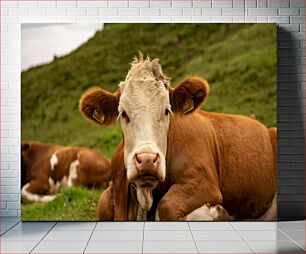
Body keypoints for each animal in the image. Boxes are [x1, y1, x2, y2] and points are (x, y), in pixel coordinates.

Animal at [79, 55, 278, 220]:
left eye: (167, 110)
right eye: (123, 113)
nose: (147, 160)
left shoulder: (204, 182)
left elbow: (166, 207)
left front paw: (216, 213)